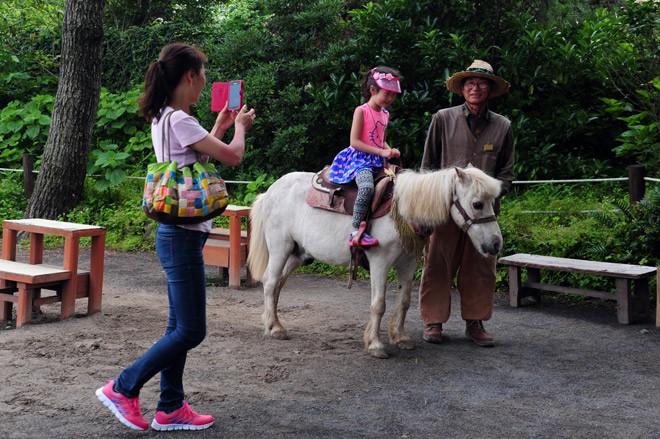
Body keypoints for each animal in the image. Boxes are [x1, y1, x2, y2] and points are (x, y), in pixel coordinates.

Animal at [246, 167, 500, 360]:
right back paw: (275, 329)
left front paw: (400, 337)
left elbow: (405, 301)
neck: (402, 212)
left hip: (297, 254)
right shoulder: (380, 261)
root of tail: (269, 192)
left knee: (277, 285)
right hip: (280, 248)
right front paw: (376, 344)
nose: (496, 244)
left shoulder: (408, 263)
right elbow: (379, 304)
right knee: (271, 283)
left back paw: (271, 323)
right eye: (477, 204)